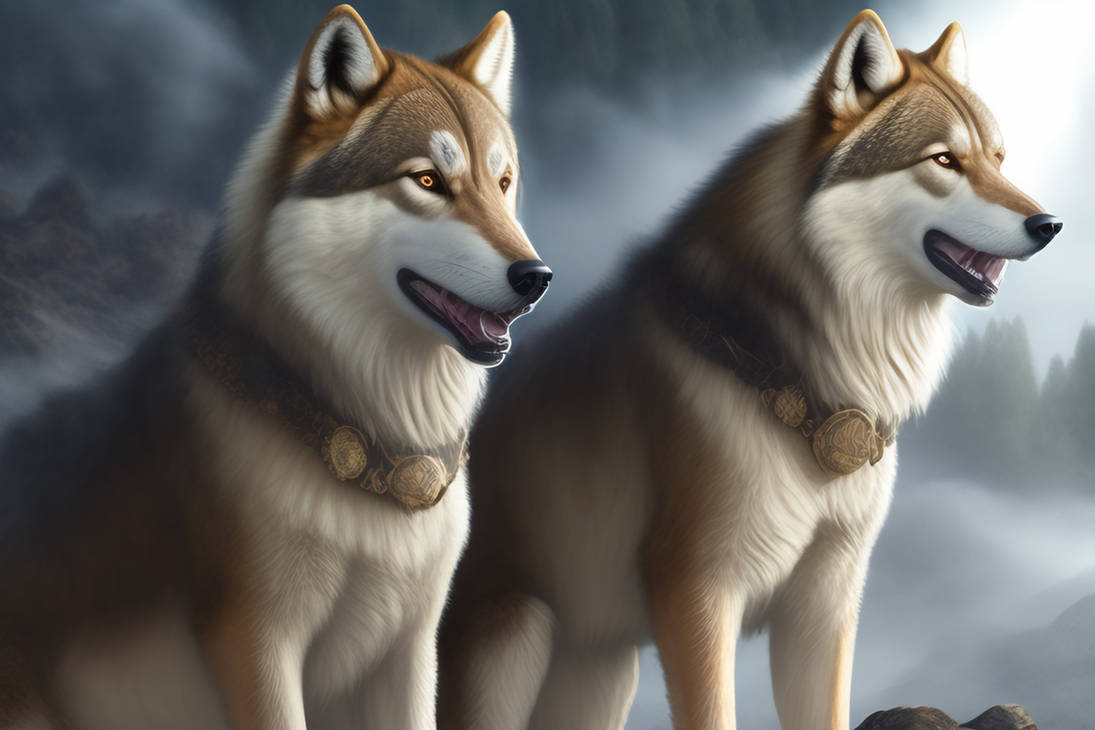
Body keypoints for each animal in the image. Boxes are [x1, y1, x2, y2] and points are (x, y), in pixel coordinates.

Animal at [438, 10, 1059, 730]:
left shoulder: (823, 606)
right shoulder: (698, 592)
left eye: (997, 158)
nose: (1050, 223)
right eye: (943, 160)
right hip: (520, 632)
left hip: (604, 674)